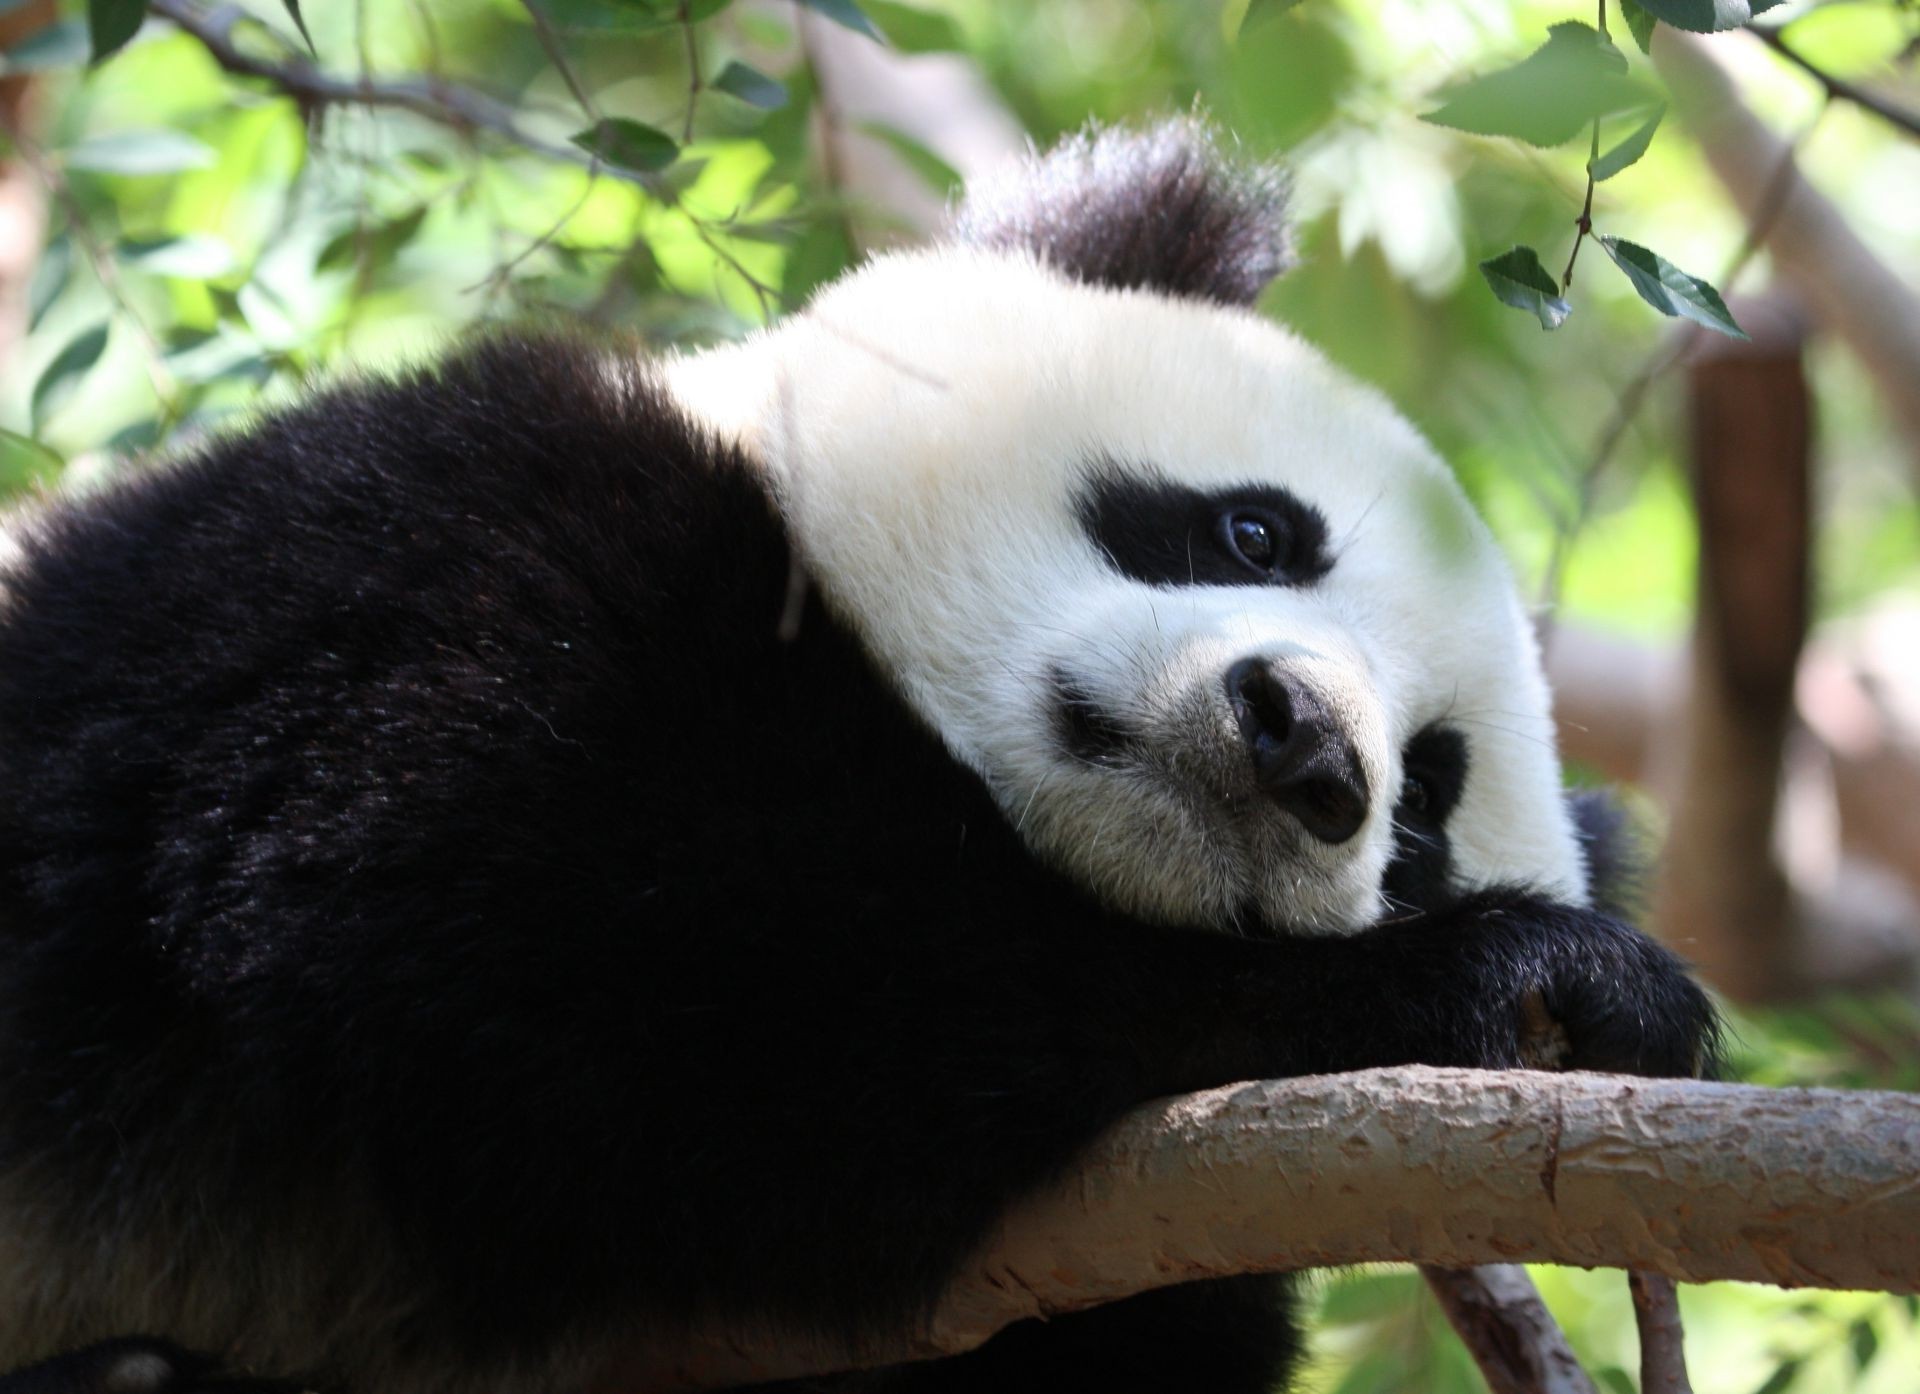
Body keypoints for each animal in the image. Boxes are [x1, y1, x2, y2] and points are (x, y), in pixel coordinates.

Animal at [0, 122, 1712, 1394]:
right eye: (1252, 531)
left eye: (1421, 809)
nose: (1304, 748)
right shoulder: (414, 560)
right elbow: (610, 966)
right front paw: (1516, 980)